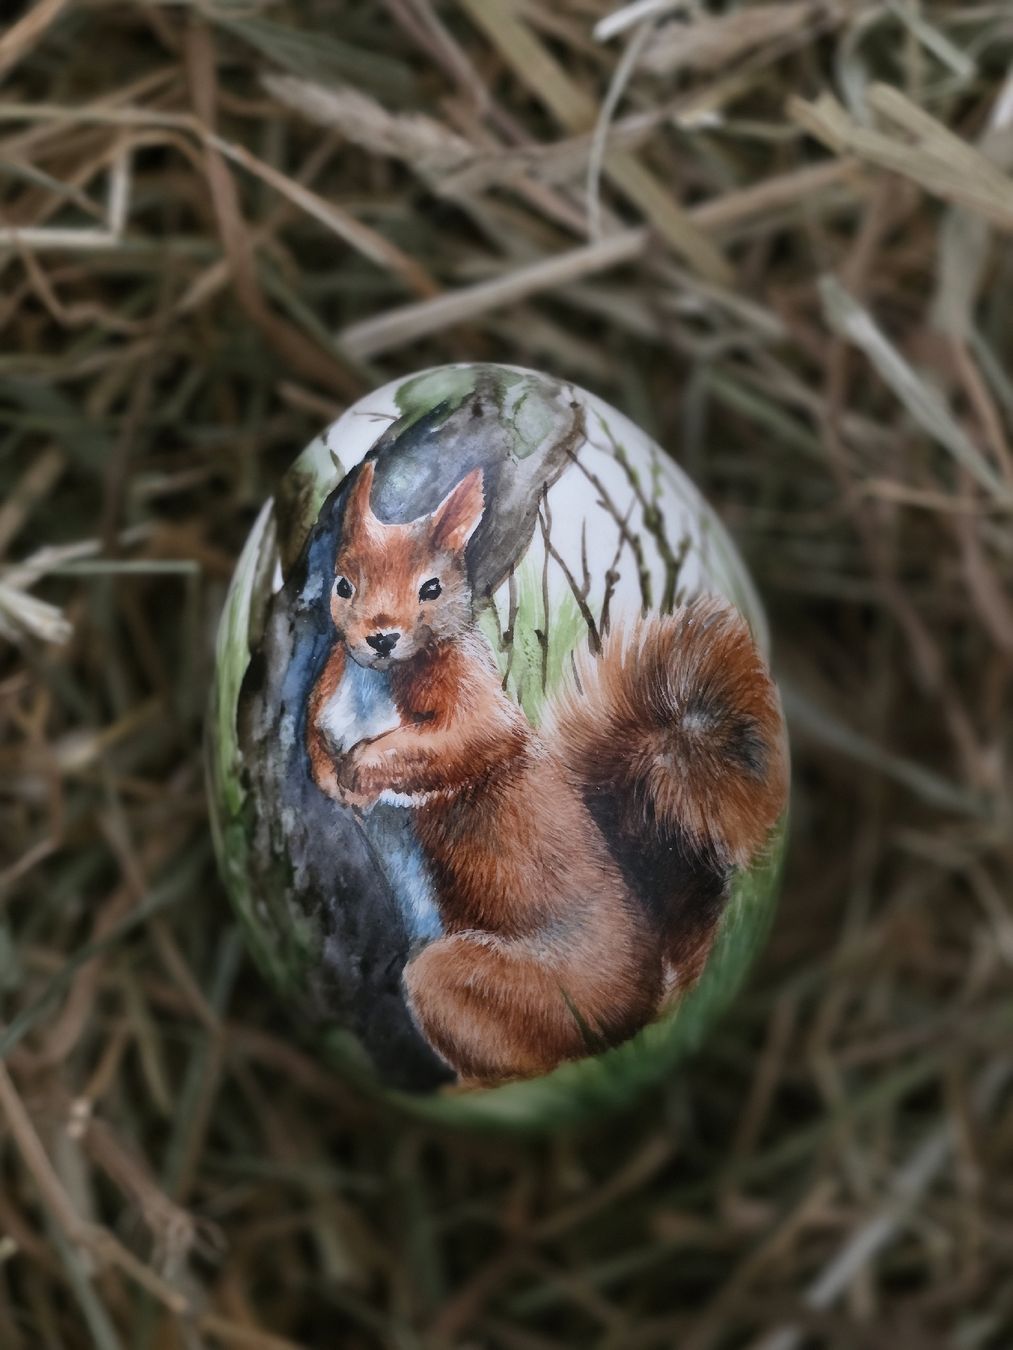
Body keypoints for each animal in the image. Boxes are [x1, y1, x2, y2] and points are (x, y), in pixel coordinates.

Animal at [306, 460, 788, 1084]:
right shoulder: (325, 696)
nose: (381, 636)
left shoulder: (477, 706)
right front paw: (326, 772)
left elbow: (463, 741)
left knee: (530, 1064)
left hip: (476, 985)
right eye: (343, 584)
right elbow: (315, 732)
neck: (373, 682)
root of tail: (644, 1001)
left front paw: (361, 772)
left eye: (431, 587)